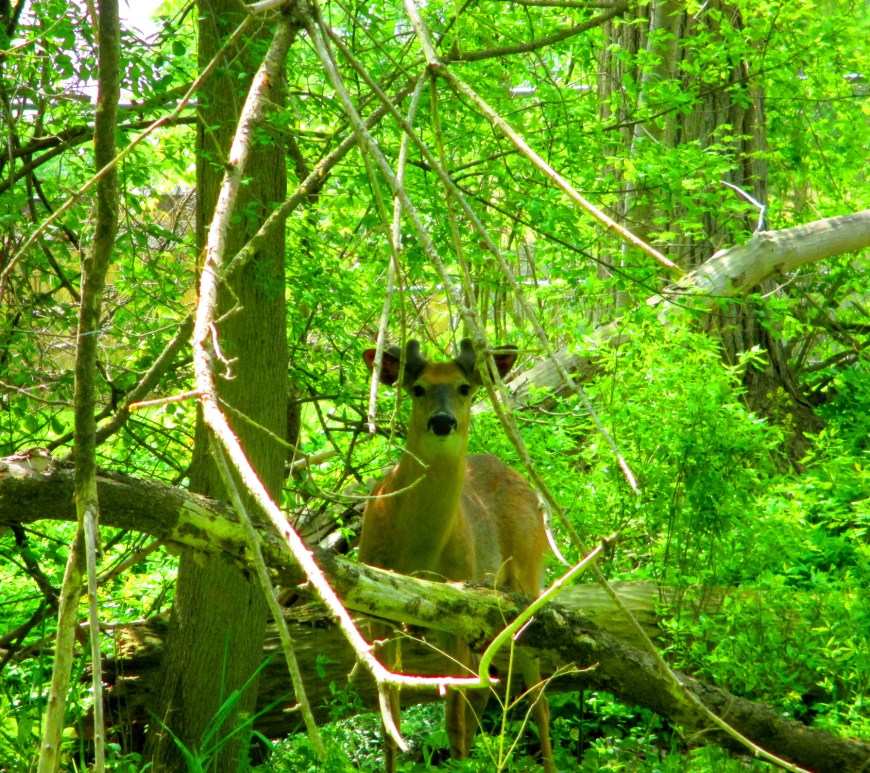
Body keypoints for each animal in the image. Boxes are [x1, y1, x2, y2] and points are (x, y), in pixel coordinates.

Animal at [360, 338, 554, 772]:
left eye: (465, 387)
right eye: (417, 389)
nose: (443, 421)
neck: (418, 551)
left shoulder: (457, 614)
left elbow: (453, 718)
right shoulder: (376, 612)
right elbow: (389, 716)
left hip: (527, 582)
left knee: (537, 698)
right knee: (488, 693)